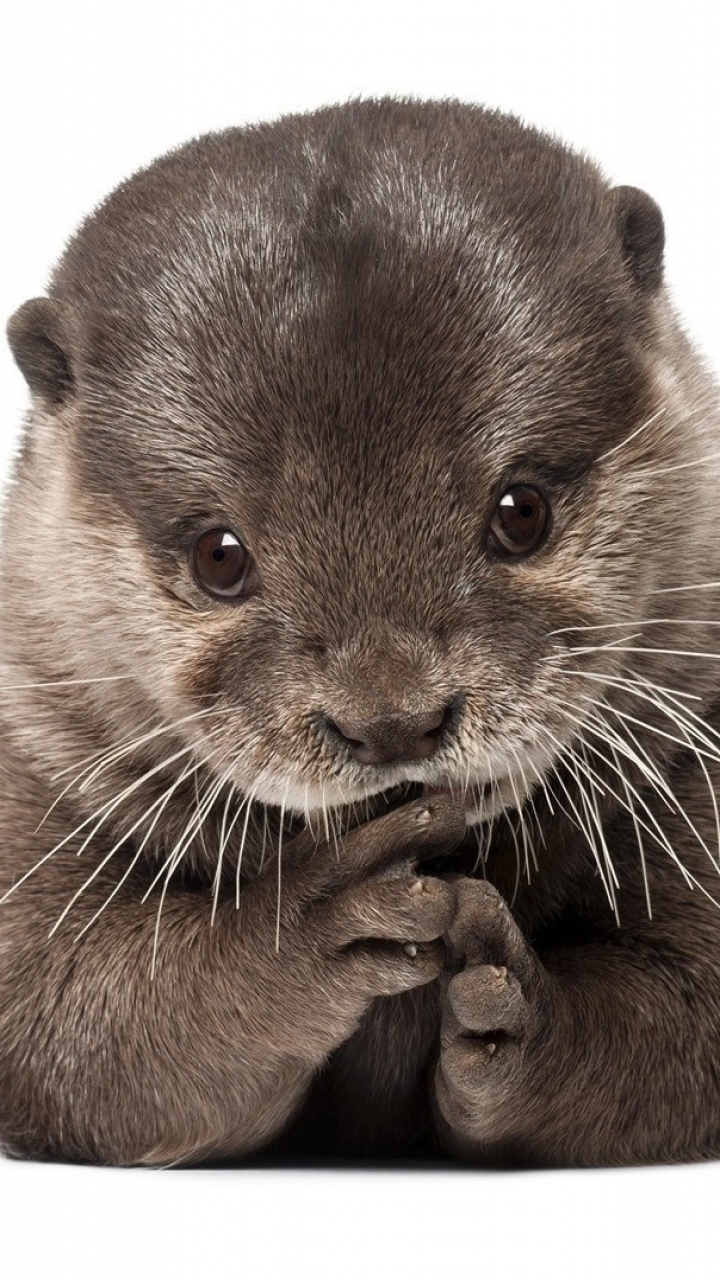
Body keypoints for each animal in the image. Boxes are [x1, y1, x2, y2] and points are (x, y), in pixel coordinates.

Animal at [2, 96, 720, 1168]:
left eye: (522, 510)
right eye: (220, 555)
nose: (392, 722)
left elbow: (690, 1010)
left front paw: (519, 1016)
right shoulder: (32, 755)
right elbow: (60, 1013)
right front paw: (307, 929)